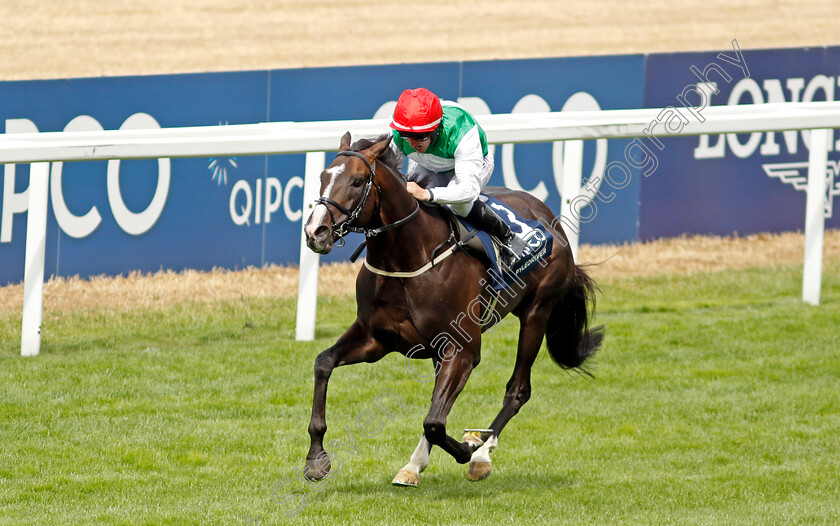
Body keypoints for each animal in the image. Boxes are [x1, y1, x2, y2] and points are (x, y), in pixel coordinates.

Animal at [298, 134, 600, 488]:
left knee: (517, 390)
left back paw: (481, 453)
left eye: (358, 181)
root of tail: (549, 216)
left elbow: (434, 422)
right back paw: (416, 464)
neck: (408, 258)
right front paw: (316, 458)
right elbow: (323, 363)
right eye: (322, 178)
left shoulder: (462, 349)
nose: (315, 231)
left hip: (537, 312)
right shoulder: (375, 339)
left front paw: (469, 448)